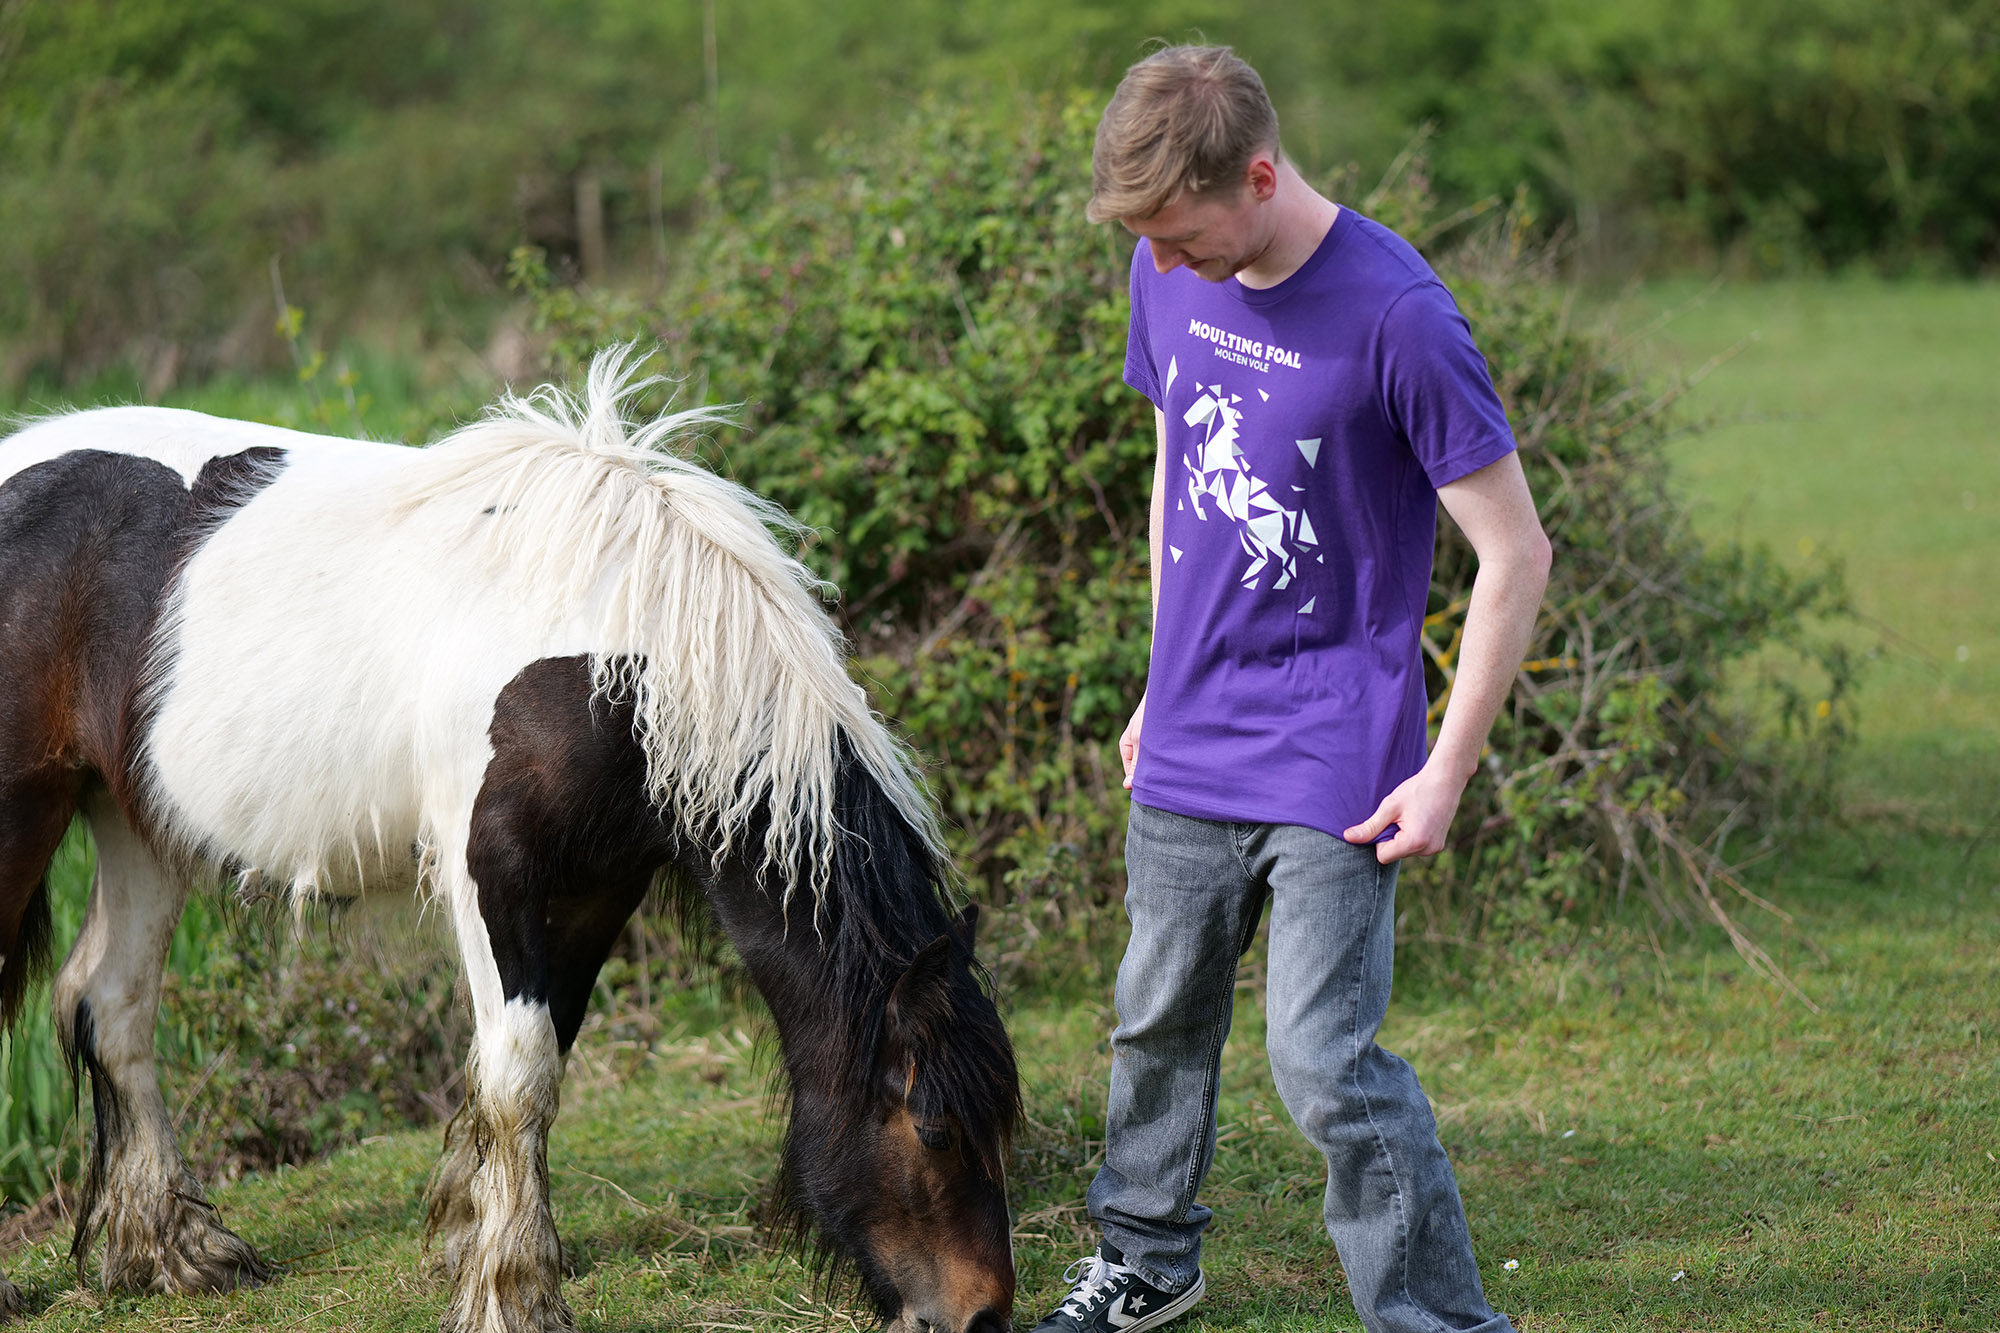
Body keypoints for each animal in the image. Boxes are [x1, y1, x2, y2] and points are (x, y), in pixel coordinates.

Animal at [0, 350, 1016, 1328]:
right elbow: (520, 1072)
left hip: (135, 820)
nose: (982, 1312)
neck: (619, 656)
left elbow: (540, 1057)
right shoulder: (495, 873)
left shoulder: (599, 884)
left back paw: (173, 1253)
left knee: (110, 1004)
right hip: (30, 812)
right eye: (932, 1128)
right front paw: (515, 1290)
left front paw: (470, 1237)